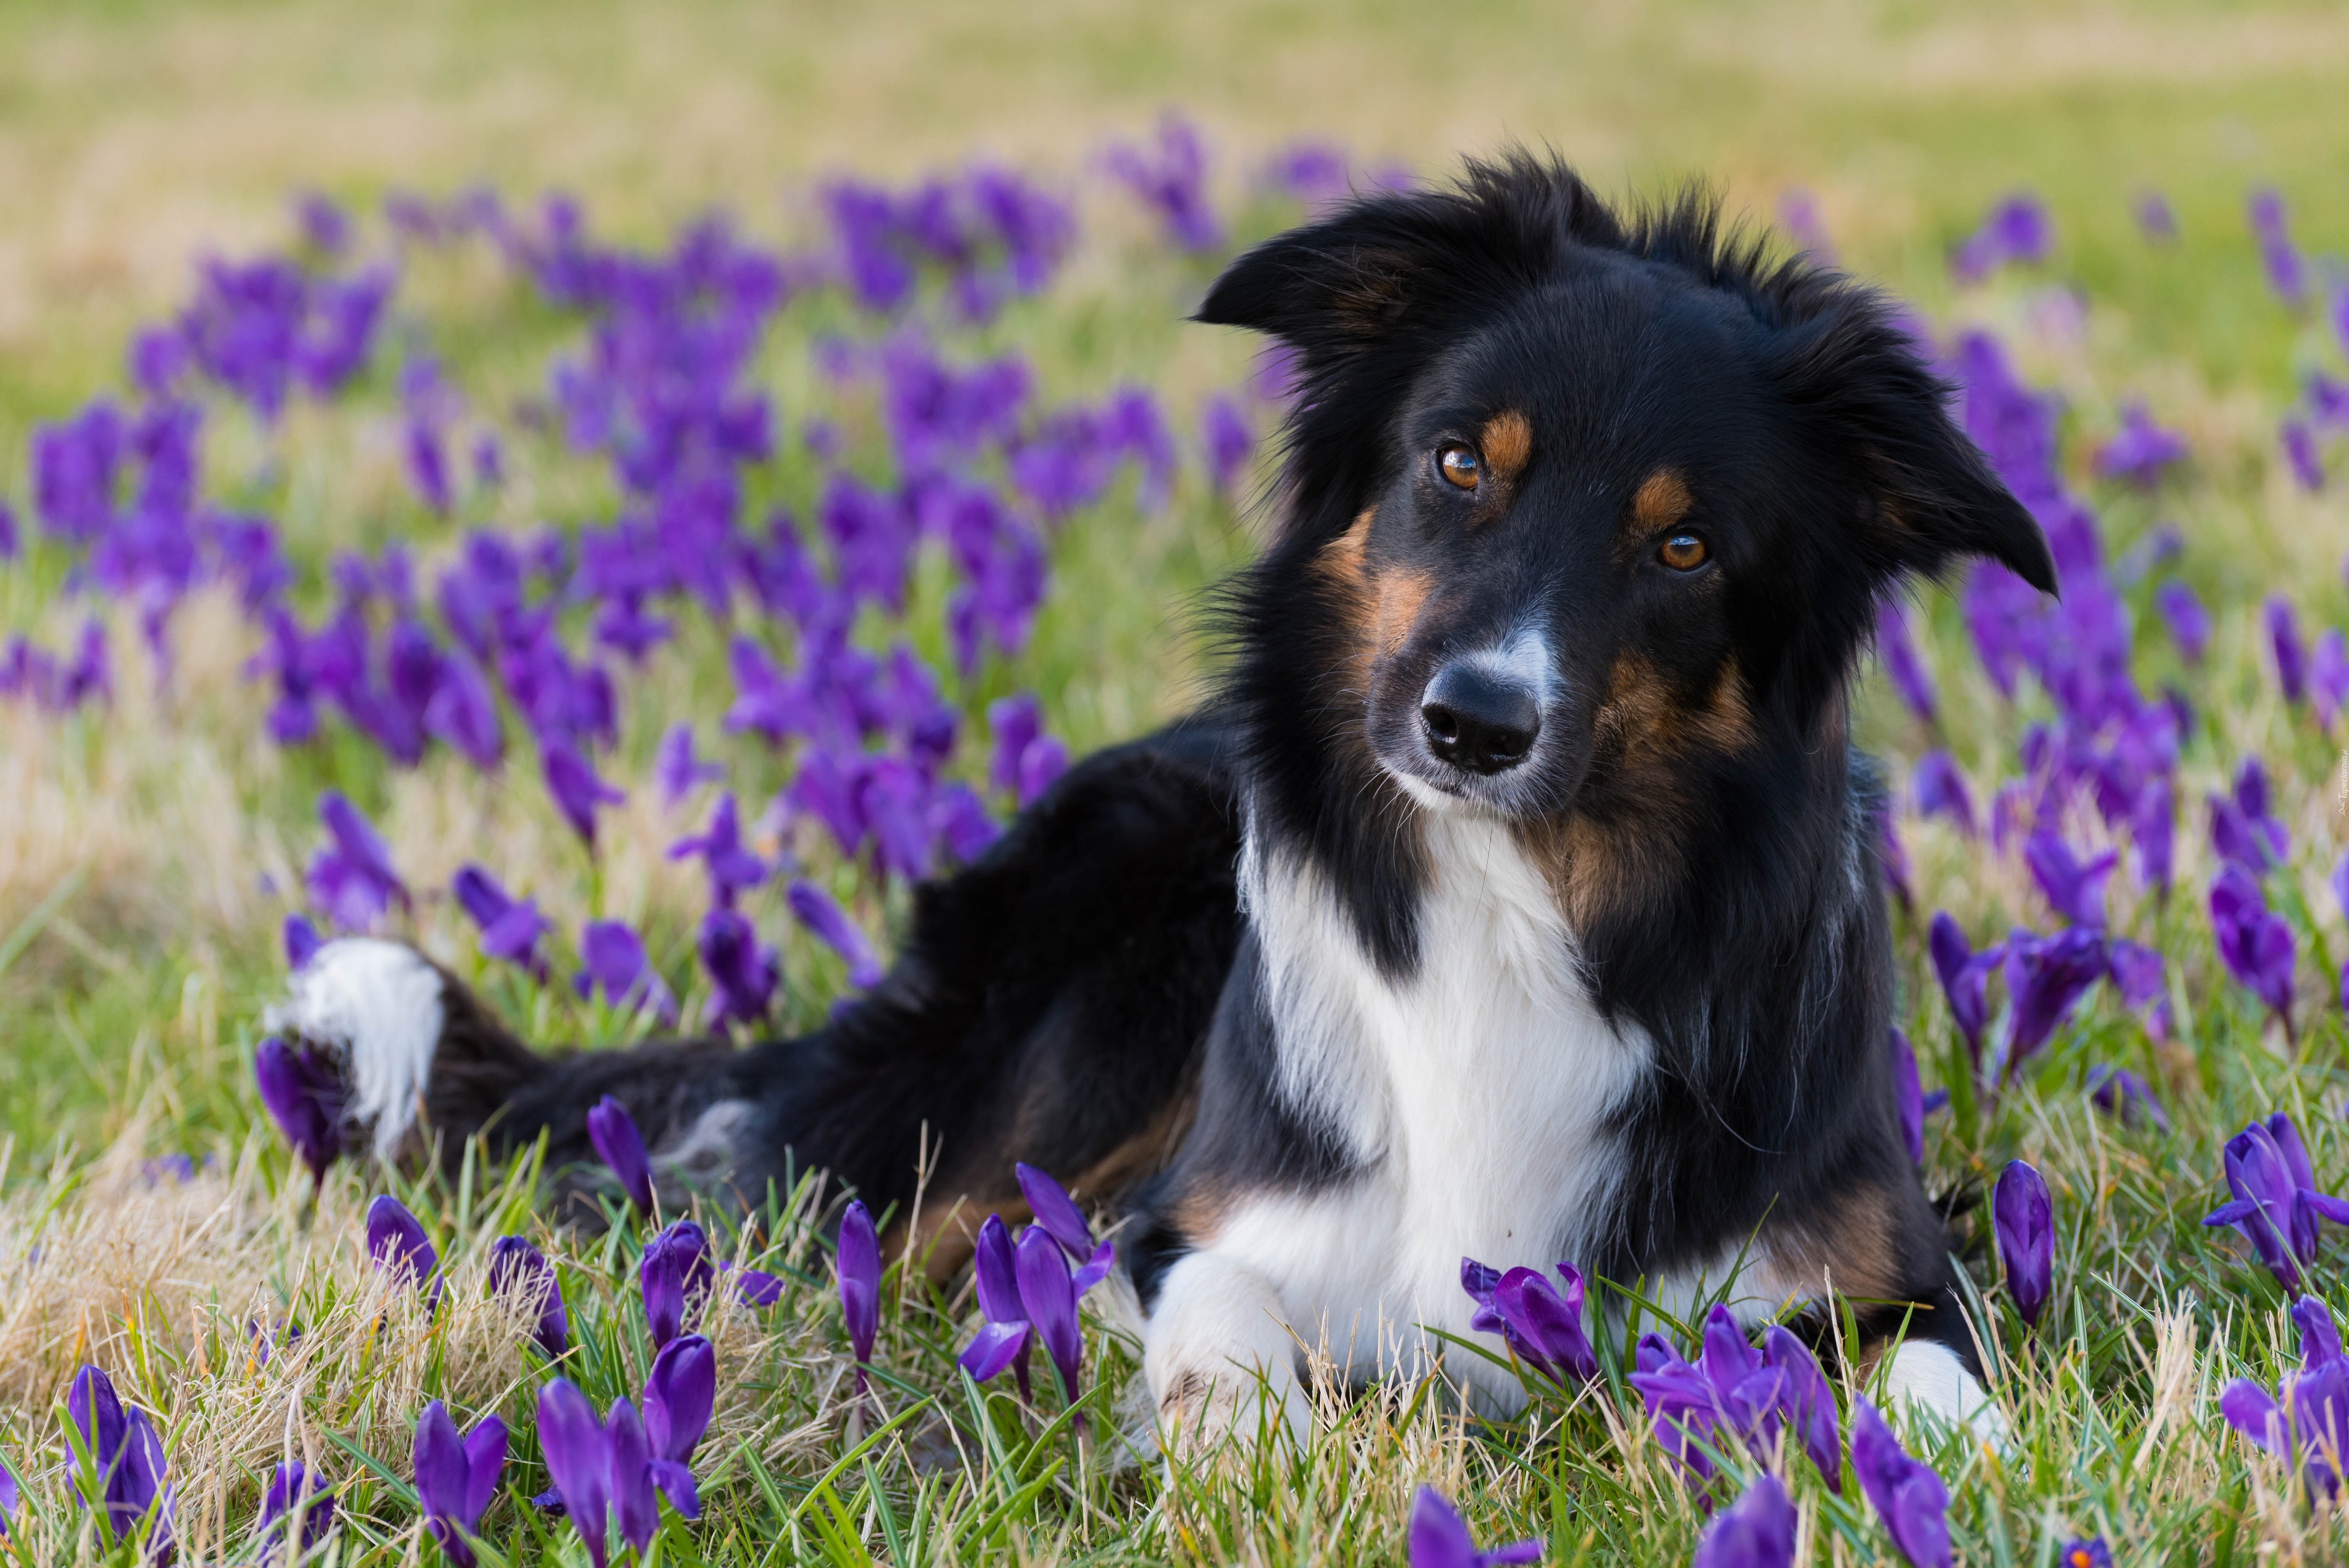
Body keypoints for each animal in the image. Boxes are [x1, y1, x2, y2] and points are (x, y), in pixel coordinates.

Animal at [262, 156, 2057, 1446]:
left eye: (1683, 545)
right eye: (1458, 462)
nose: (1473, 722)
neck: (1518, 891)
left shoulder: (1874, 1267)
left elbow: (1941, 1384)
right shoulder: (1203, 1212)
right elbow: (1221, 1314)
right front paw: (1234, 1439)